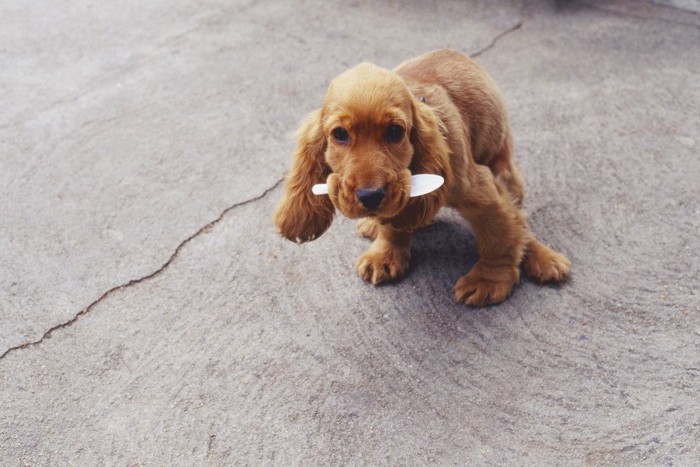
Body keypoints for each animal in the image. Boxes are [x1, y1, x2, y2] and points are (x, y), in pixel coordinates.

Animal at [274, 49, 568, 306]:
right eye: (340, 134)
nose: (370, 197)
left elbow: (497, 238)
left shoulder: (482, 192)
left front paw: (489, 281)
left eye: (395, 131)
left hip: (503, 168)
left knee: (520, 221)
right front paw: (386, 254)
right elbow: (394, 224)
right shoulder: (397, 194)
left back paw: (544, 258)